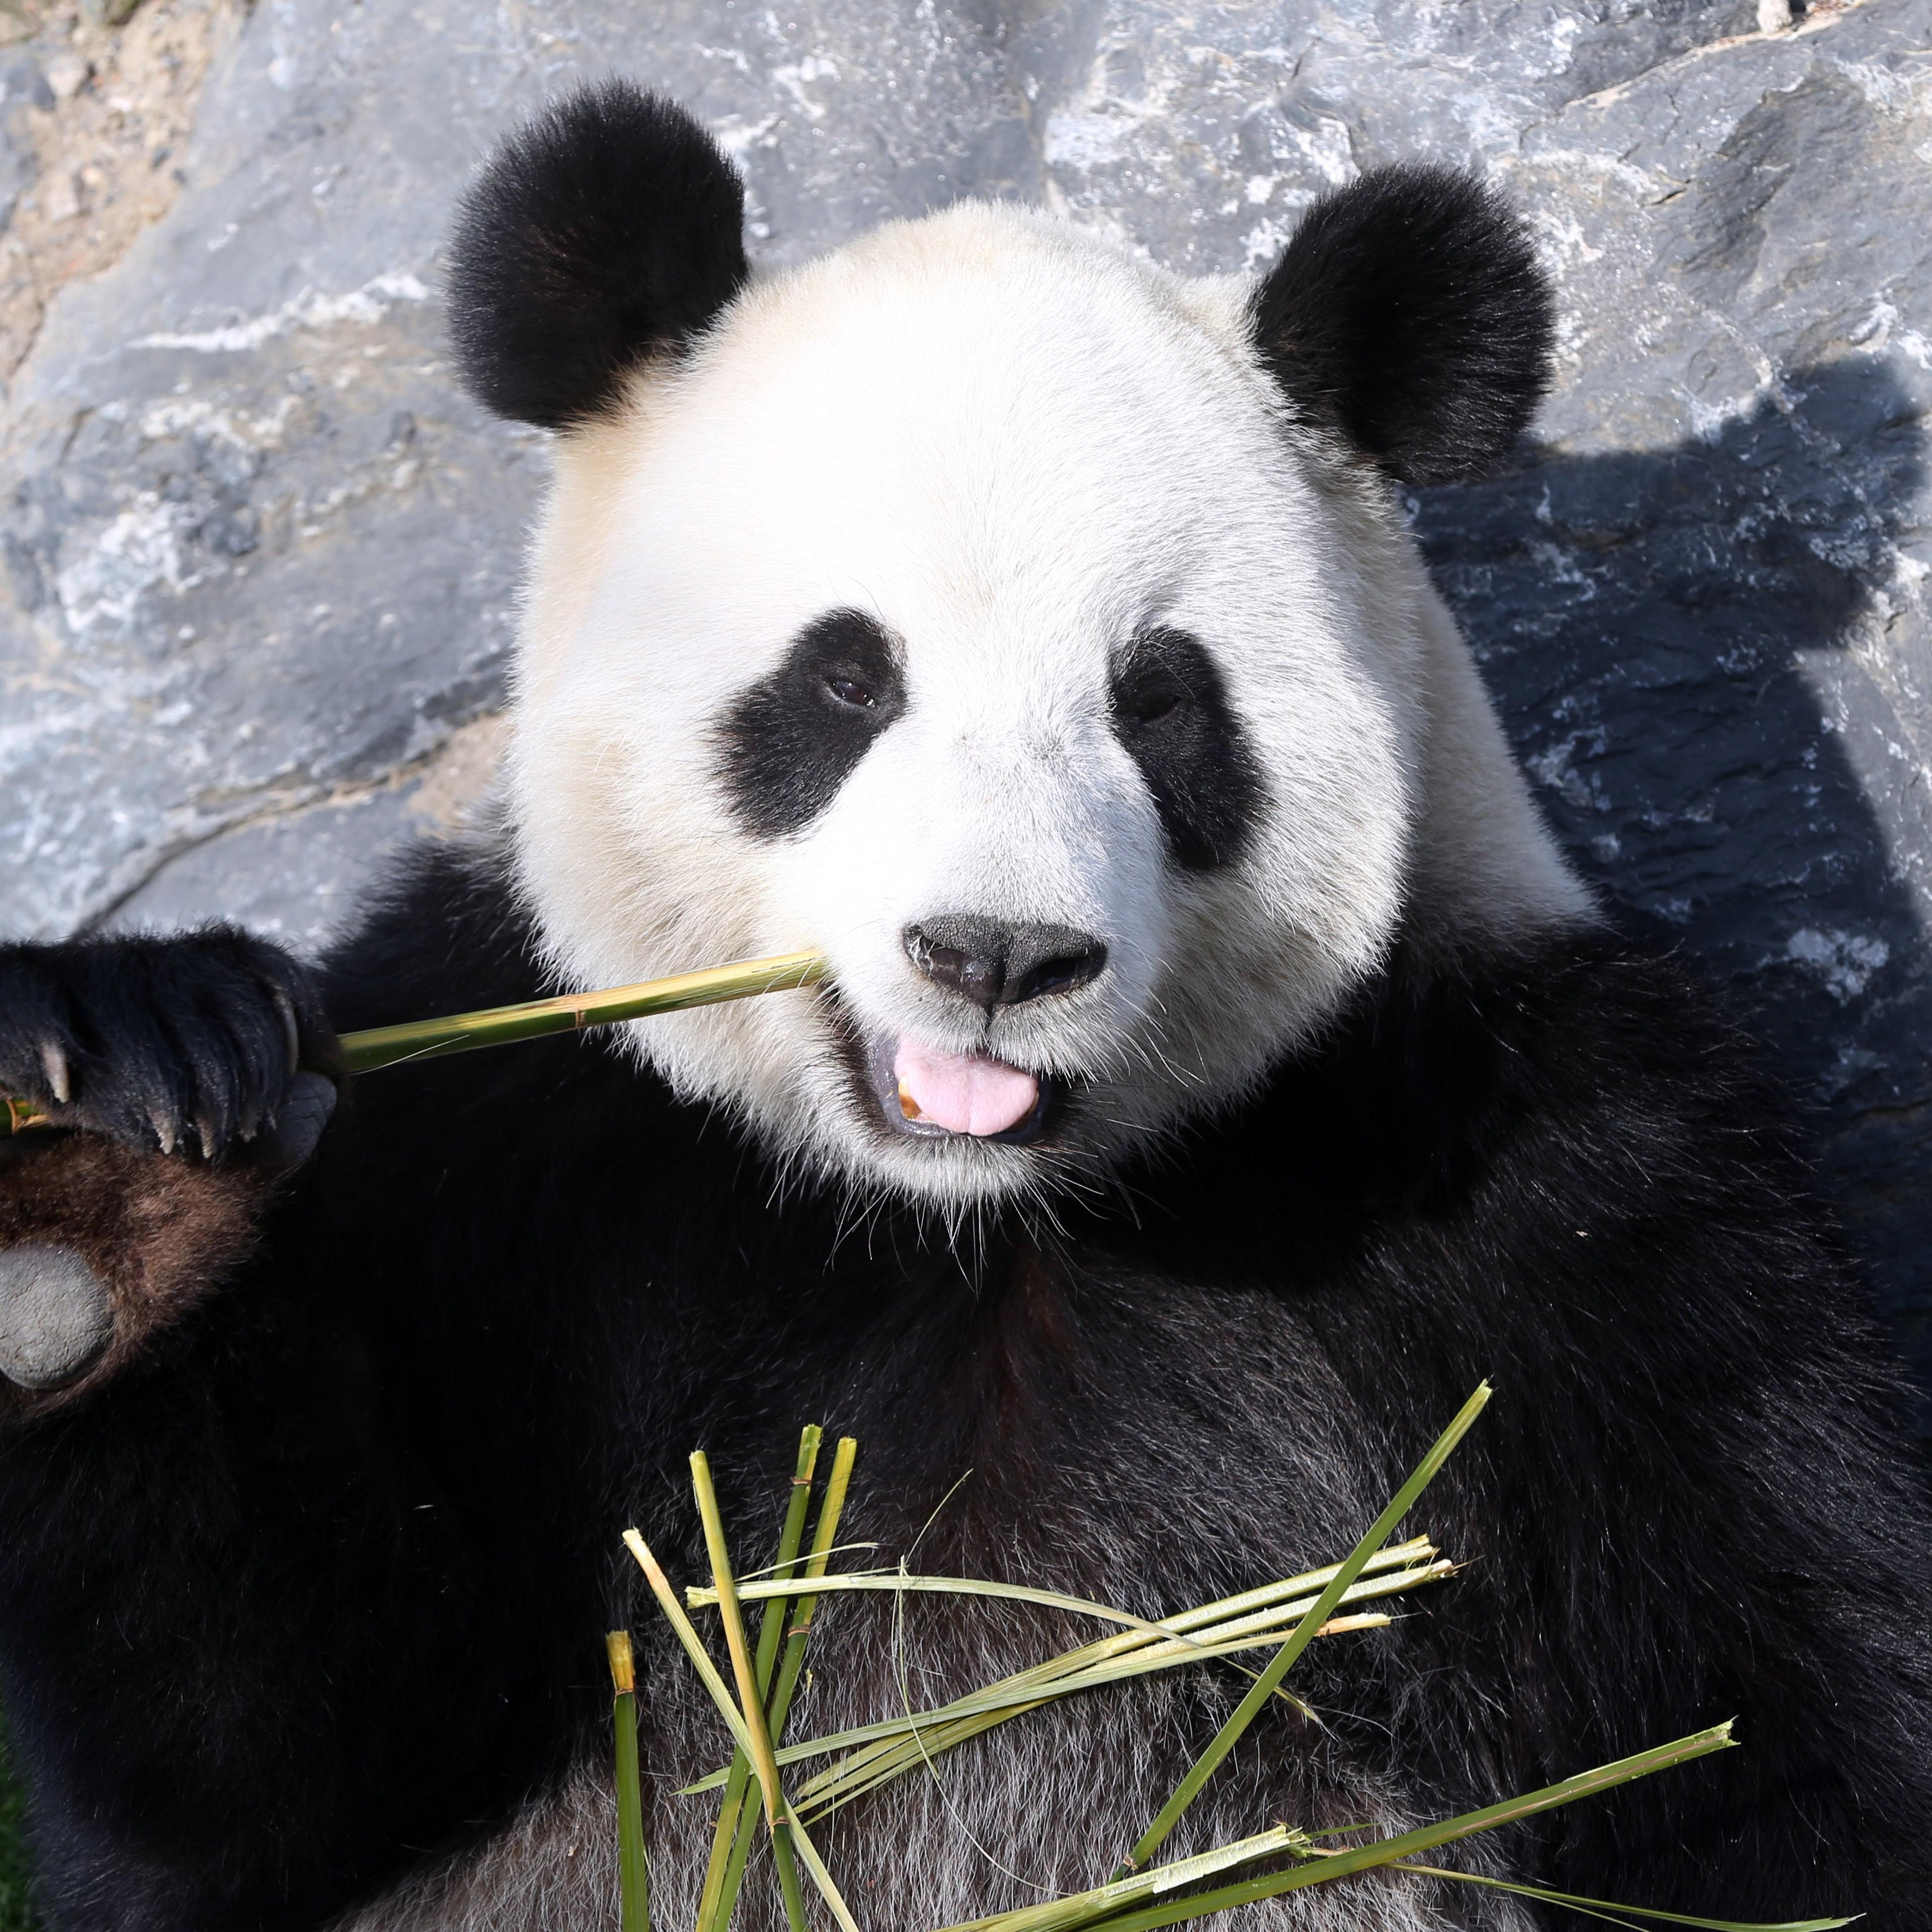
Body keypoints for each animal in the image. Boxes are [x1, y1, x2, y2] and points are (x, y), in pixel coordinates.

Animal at [1, 77, 1930, 1932]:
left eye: (1159, 700)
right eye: (846, 680)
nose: (996, 954)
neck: (966, 1223)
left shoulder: (1553, 1182)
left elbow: (1773, 1724)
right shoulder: (507, 1144)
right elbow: (285, 1777)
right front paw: (119, 1161)